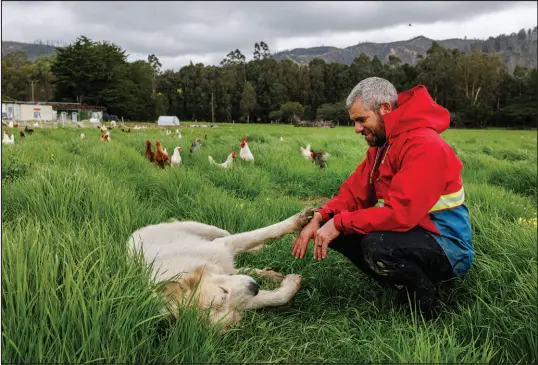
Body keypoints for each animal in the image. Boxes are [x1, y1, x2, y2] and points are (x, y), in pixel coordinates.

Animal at [129, 206, 314, 328]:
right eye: (228, 307)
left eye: (223, 291)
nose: (255, 287)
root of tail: (134, 235)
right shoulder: (245, 300)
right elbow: (276, 297)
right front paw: (292, 283)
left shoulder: (224, 245)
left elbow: (263, 233)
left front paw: (299, 220)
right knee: (243, 268)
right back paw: (269, 274)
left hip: (209, 230)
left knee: (229, 234)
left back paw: (261, 250)